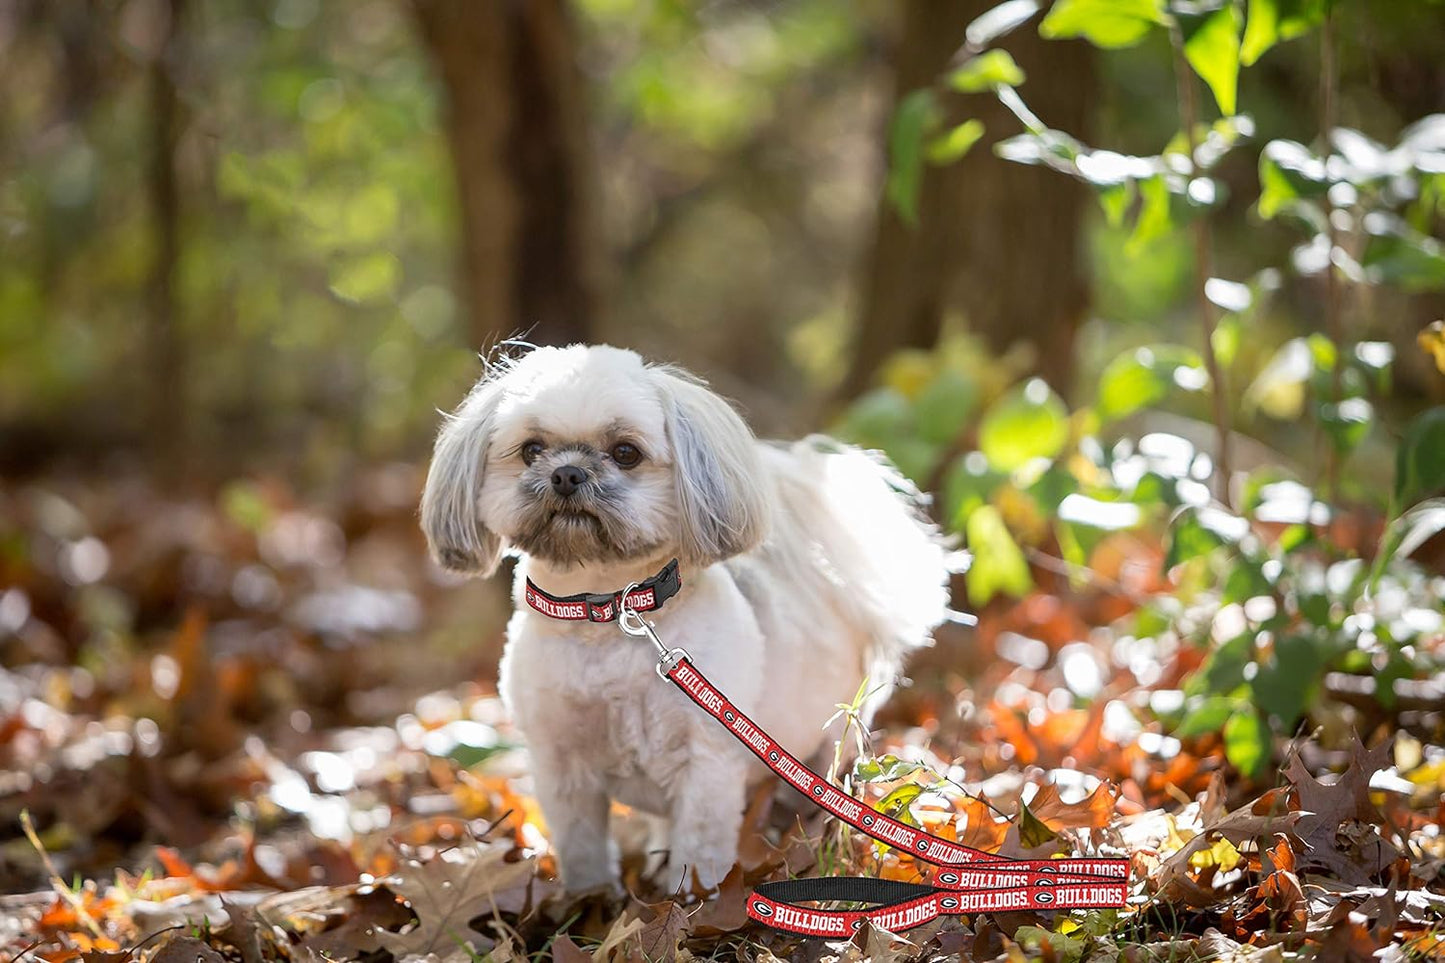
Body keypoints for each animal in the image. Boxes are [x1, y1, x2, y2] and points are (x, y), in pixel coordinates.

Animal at [419, 345, 947, 890]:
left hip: (833, 740)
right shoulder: (560, 767)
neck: (609, 614)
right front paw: (590, 900)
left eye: (626, 452)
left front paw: (692, 901)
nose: (566, 474)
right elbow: (583, 849)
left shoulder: (707, 762)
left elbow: (699, 849)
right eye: (531, 449)